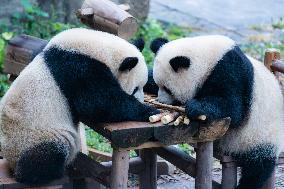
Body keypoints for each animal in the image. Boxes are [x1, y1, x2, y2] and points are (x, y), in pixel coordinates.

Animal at [0, 28, 158, 185]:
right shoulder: (79, 69)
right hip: (34, 137)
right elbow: (98, 103)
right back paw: (47, 174)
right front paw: (150, 111)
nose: (141, 99)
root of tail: (11, 161)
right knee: (47, 155)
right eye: (136, 88)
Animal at [148, 35, 284, 189]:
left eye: (167, 88)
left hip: (261, 136)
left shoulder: (230, 70)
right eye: (158, 84)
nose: (161, 100)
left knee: (258, 168)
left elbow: (234, 108)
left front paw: (195, 107)